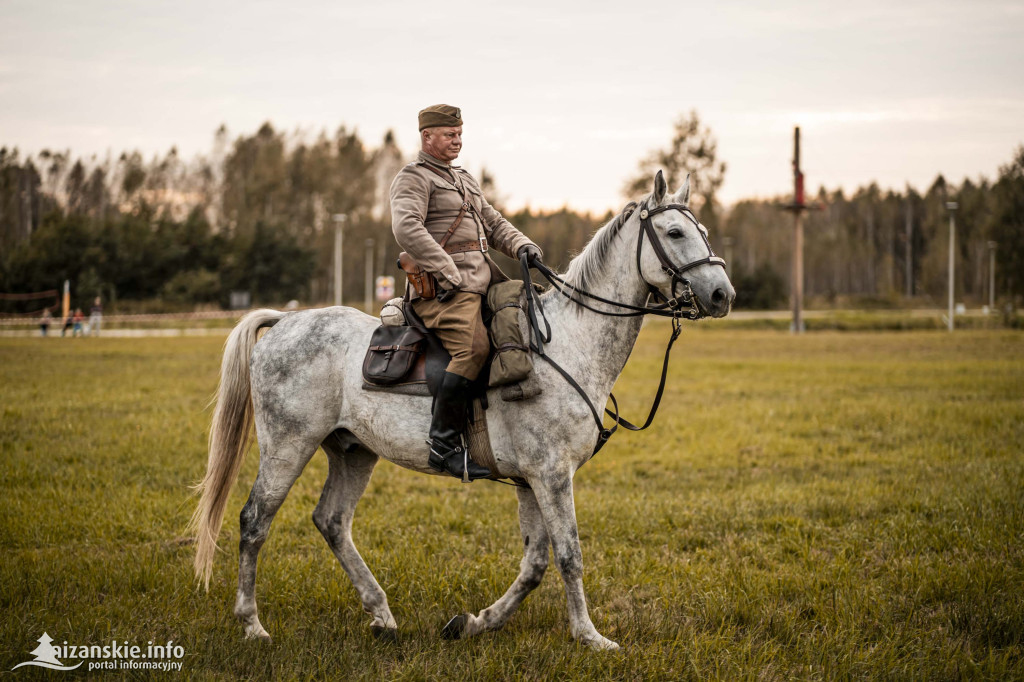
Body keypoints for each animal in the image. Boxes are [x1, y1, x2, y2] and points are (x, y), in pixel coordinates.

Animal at [190, 169, 737, 647]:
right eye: (674, 231)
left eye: (704, 231)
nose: (722, 294)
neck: (566, 344)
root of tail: (284, 321)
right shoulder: (551, 475)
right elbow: (569, 555)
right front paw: (590, 636)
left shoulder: (530, 480)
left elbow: (535, 564)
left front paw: (475, 622)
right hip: (289, 445)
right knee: (254, 521)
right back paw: (252, 625)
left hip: (353, 452)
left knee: (332, 522)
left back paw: (382, 615)